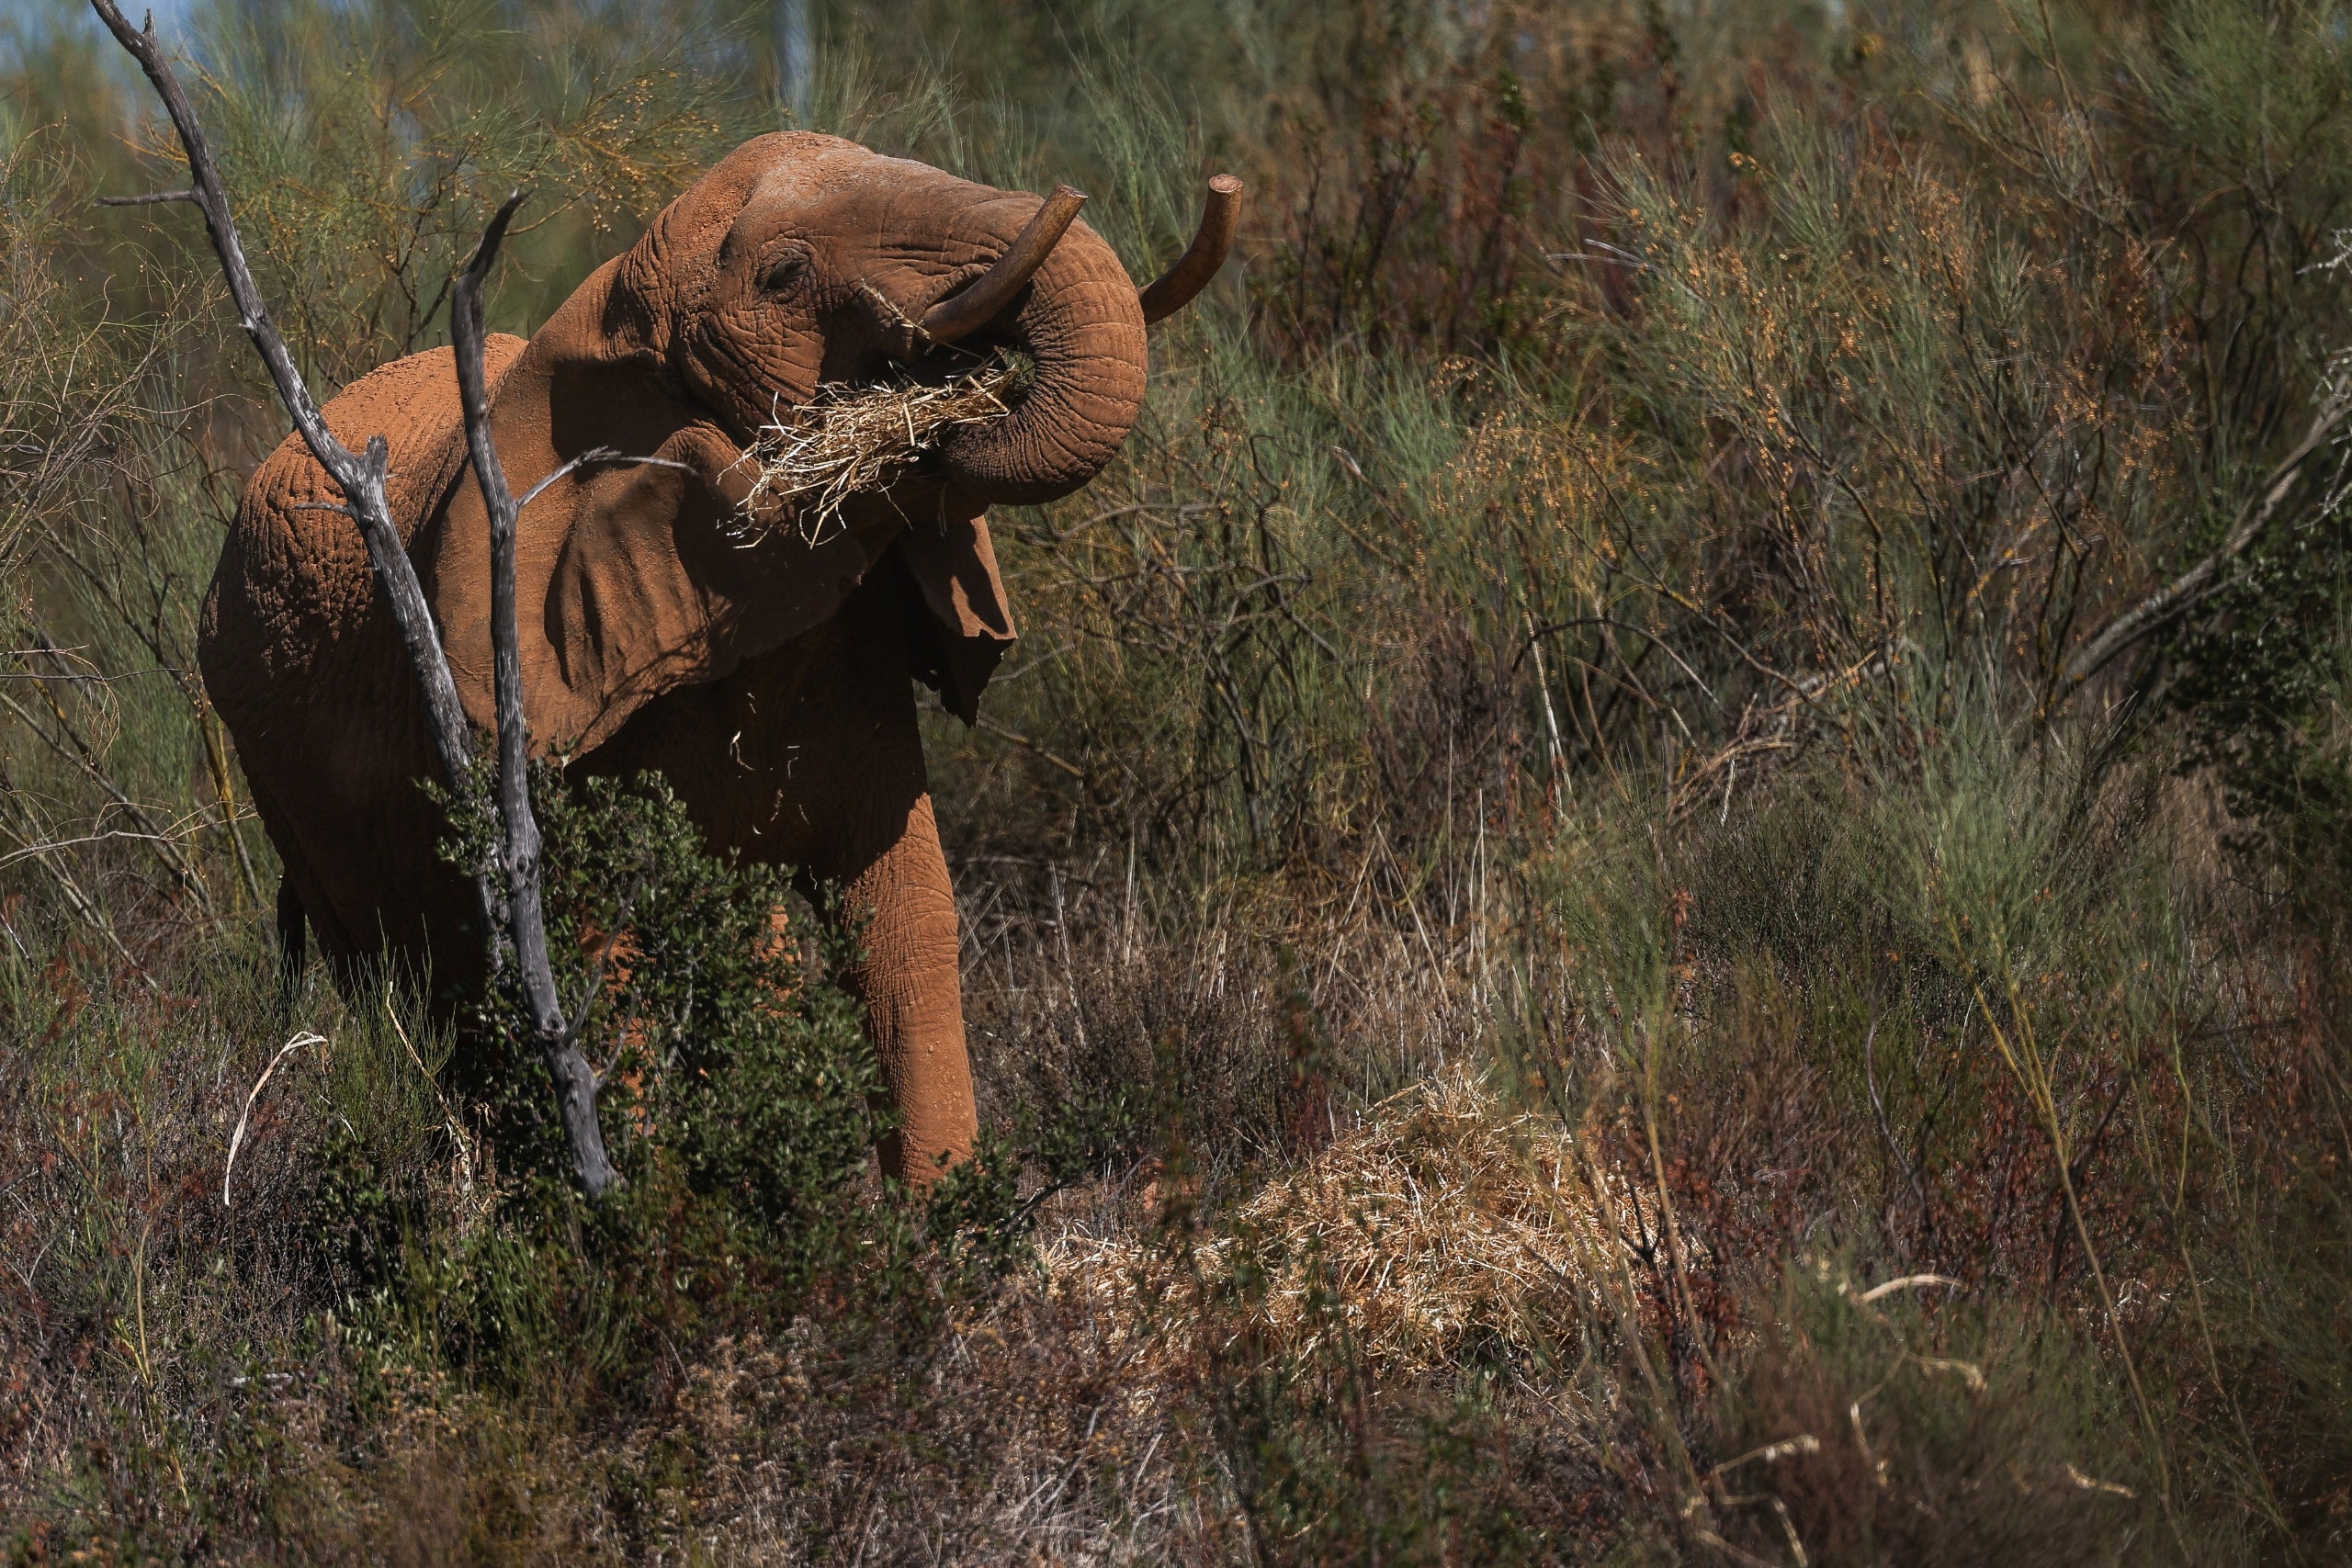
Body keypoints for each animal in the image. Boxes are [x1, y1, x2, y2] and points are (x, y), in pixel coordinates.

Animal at [198, 132, 1237, 1181]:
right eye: (784, 276)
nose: (966, 385)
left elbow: (901, 911)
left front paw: (938, 1210)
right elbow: (605, 955)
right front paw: (652, 1209)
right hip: (280, 777)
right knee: (412, 997)